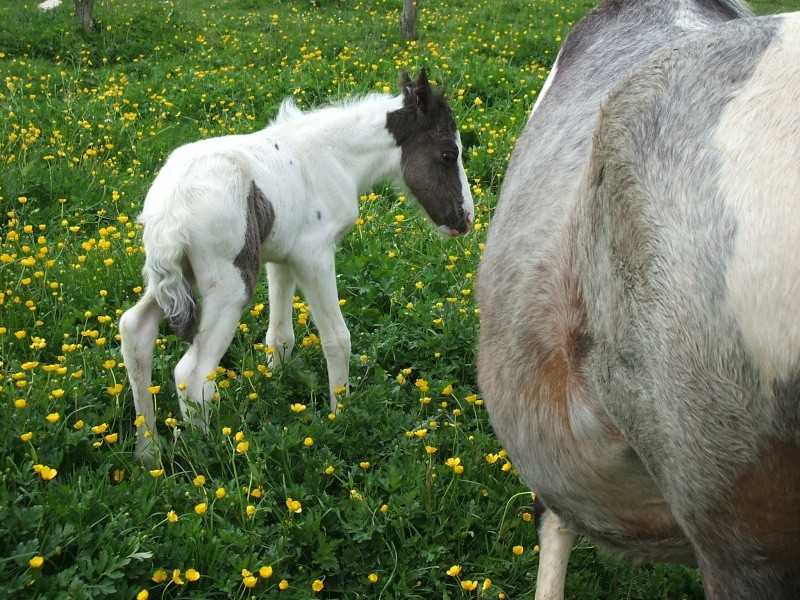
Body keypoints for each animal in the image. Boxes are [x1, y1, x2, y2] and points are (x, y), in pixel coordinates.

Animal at [121, 71, 472, 464]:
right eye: (448, 154)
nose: (465, 220)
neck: (336, 157)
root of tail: (170, 214)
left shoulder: (281, 257)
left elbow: (280, 336)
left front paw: (274, 385)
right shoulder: (314, 255)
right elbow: (337, 338)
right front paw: (340, 417)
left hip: (172, 277)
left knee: (135, 330)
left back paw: (147, 453)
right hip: (230, 284)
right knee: (193, 373)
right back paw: (208, 459)